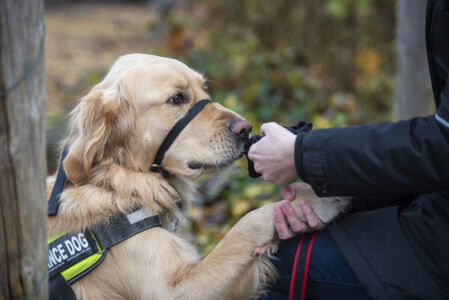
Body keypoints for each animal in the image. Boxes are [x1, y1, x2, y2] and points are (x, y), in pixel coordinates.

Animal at [46, 54, 346, 300]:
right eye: (177, 98)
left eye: (204, 88)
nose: (246, 128)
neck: (120, 183)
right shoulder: (176, 292)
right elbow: (245, 225)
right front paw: (313, 200)